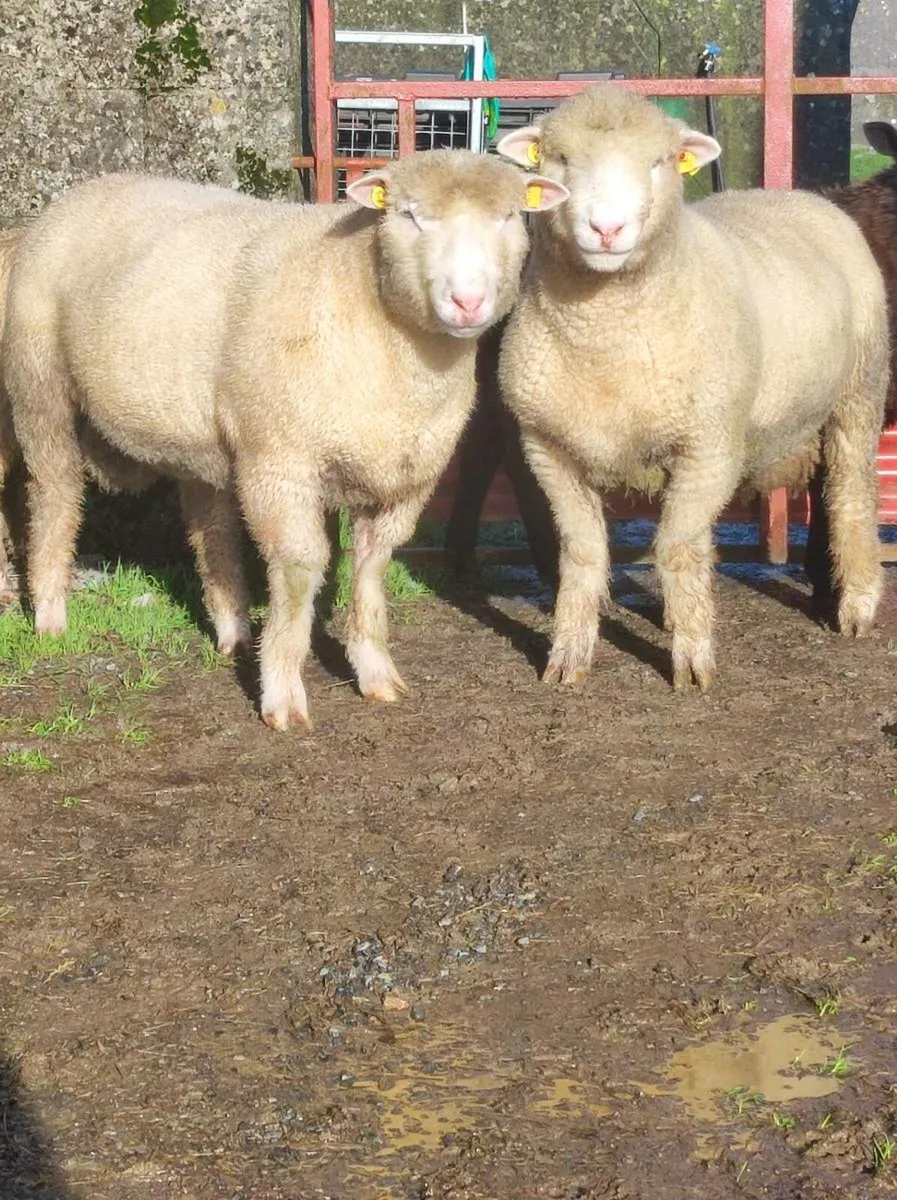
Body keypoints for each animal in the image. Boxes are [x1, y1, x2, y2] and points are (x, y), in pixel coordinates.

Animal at [2, 153, 568, 729]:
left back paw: (232, 631)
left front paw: (375, 672)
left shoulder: (404, 481)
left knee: (210, 527)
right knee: (54, 491)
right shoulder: (279, 463)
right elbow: (299, 570)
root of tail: (70, 200)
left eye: (509, 217)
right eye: (409, 216)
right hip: (39, 383)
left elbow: (372, 568)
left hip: (201, 435)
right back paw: (50, 615)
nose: (467, 301)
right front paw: (283, 693)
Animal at [496, 85, 888, 692]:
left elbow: (678, 550)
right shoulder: (548, 449)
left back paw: (856, 605)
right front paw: (568, 655)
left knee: (851, 495)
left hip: (858, 394)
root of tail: (800, 196)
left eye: (660, 160)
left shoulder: (710, 448)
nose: (606, 229)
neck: (605, 339)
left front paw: (693, 661)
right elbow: (582, 553)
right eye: (560, 159)